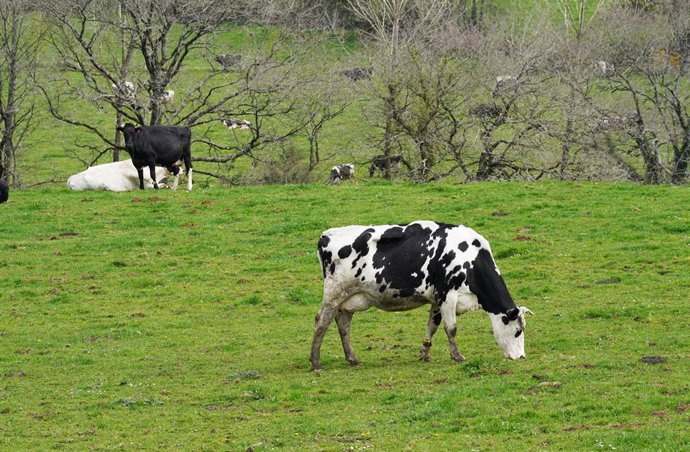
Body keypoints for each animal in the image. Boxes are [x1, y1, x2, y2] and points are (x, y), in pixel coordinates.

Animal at [310, 221, 533, 371]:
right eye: (517, 331)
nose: (522, 356)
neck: (470, 260)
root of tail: (326, 235)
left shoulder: (437, 299)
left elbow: (432, 327)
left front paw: (425, 354)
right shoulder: (447, 295)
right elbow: (451, 329)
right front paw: (457, 356)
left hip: (349, 298)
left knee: (343, 323)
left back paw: (352, 358)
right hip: (334, 292)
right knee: (321, 321)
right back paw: (315, 362)